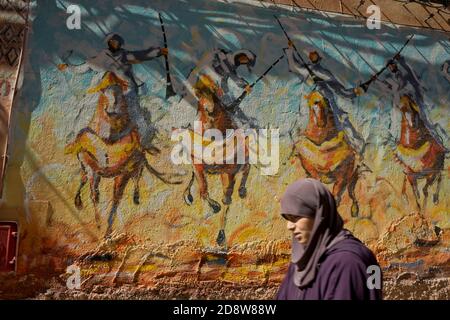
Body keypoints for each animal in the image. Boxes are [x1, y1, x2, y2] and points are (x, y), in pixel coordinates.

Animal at [65, 72, 181, 238]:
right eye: (103, 89)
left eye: (120, 90)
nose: (111, 109)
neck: (109, 140)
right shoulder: (93, 170)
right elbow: (94, 196)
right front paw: (99, 226)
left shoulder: (123, 173)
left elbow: (115, 199)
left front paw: (107, 232)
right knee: (84, 180)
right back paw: (80, 202)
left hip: (134, 167)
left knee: (136, 179)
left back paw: (136, 197)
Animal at [184, 74, 253, 245]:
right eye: (199, 95)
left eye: (215, 92)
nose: (209, 109)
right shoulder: (198, 167)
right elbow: (203, 192)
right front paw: (214, 207)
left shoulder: (229, 173)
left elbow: (226, 200)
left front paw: (221, 236)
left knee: (247, 168)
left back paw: (242, 190)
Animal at [292, 90, 362, 218]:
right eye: (314, 101)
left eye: (325, 100)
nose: (315, 93)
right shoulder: (313, 171)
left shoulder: (342, 178)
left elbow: (336, 197)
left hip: (351, 177)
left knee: (352, 194)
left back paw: (354, 210)